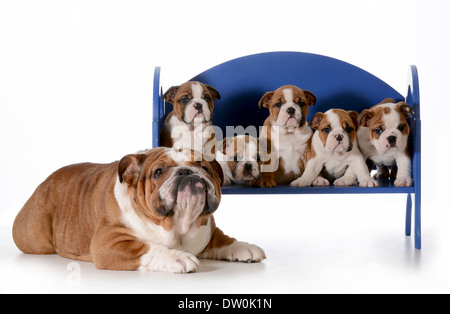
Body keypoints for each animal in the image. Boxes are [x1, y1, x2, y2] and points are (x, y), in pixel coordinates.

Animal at [13, 147, 268, 272]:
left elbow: (223, 239)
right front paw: (177, 257)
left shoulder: (209, 229)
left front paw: (244, 247)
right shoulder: (109, 243)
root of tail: (42, 184)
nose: (187, 172)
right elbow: (148, 248)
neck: (178, 224)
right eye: (158, 172)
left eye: (204, 167)